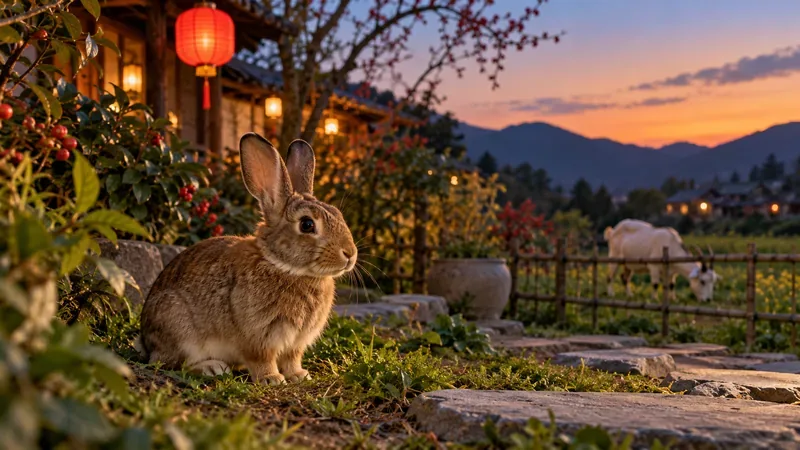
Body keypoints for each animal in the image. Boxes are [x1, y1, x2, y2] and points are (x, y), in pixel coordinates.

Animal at [138, 132, 358, 385]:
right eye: (307, 224)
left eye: (338, 214)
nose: (350, 254)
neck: (285, 266)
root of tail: (145, 341)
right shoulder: (258, 336)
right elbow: (262, 358)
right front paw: (272, 379)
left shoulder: (295, 343)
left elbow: (292, 359)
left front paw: (299, 375)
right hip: (179, 329)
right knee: (170, 363)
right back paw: (211, 368)